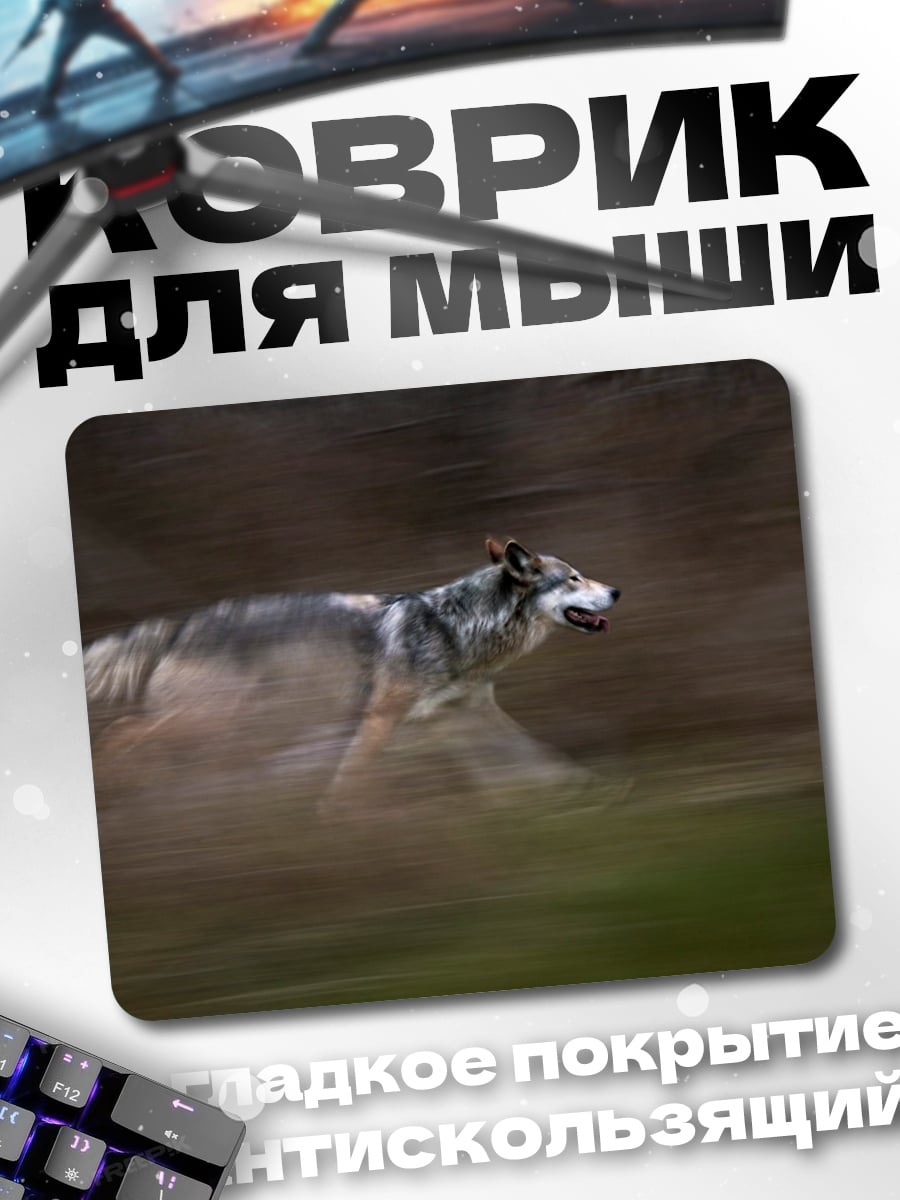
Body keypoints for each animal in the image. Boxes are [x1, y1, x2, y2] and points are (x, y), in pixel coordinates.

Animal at [84, 538, 619, 810]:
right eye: (574, 577)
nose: (616, 590)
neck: (461, 628)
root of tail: (180, 625)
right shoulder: (380, 718)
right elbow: (352, 779)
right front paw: (341, 829)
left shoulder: (464, 718)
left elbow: (538, 761)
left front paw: (593, 793)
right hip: (214, 721)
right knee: (121, 729)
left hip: (239, 727)